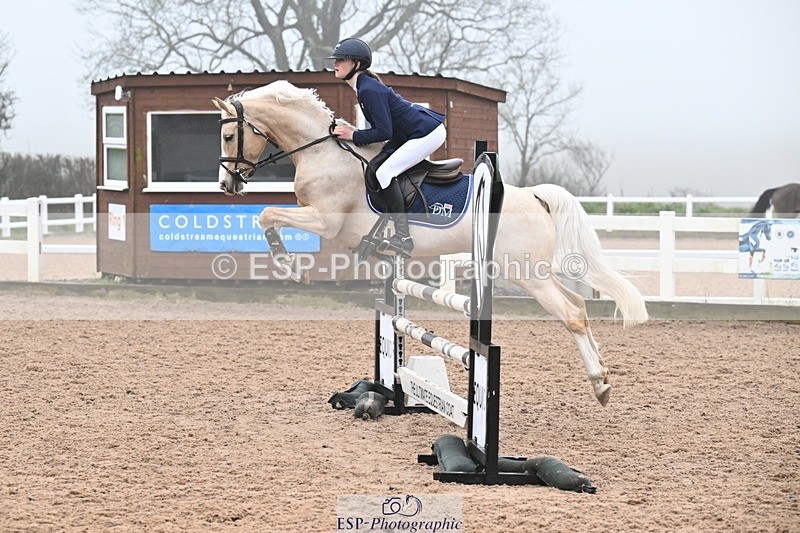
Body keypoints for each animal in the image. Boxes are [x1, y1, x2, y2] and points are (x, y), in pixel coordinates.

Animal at [212, 80, 649, 407]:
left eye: (229, 135)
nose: (227, 185)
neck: (323, 153)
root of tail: (534, 196)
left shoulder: (325, 219)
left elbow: (267, 214)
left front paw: (289, 266)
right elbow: (268, 215)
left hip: (525, 272)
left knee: (571, 313)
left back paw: (600, 383)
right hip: (532, 270)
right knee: (578, 306)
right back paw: (602, 376)